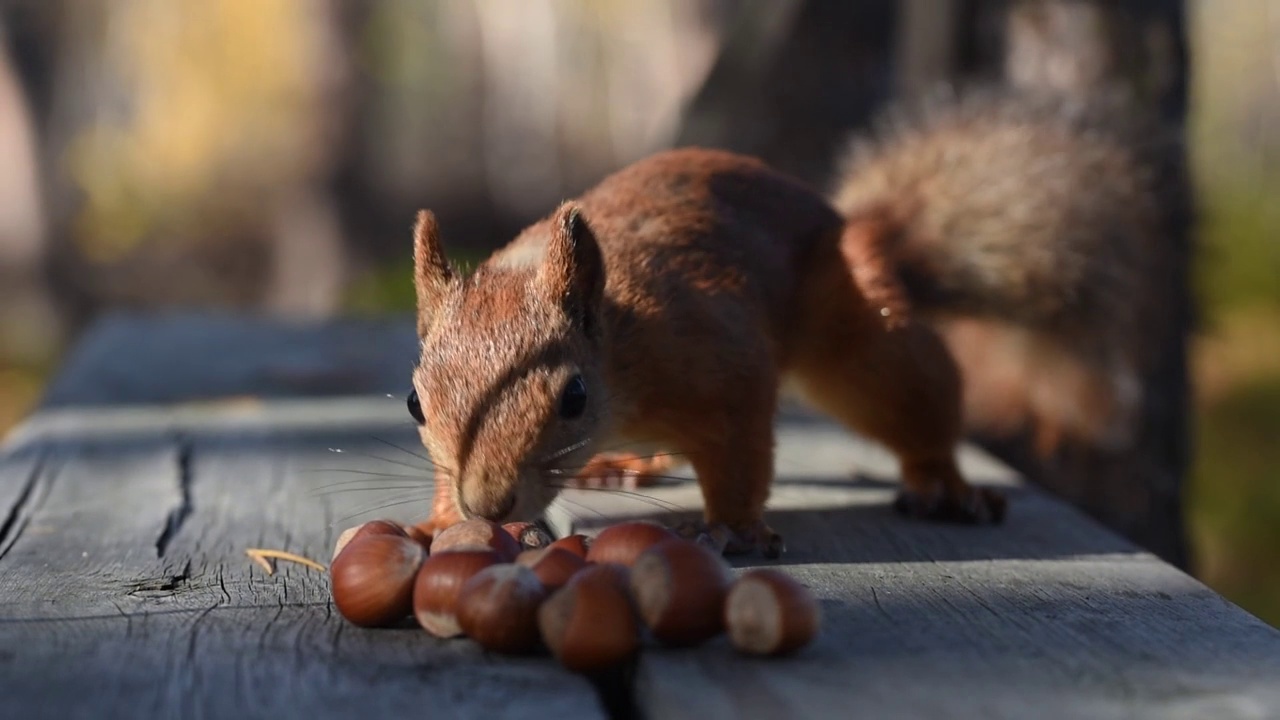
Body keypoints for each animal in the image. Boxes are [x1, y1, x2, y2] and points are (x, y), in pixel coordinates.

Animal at [401, 144, 998, 556]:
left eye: (574, 396)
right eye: (415, 404)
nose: (487, 507)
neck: (619, 343)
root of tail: (836, 214)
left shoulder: (721, 360)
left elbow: (738, 455)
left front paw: (731, 530)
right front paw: (440, 523)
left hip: (865, 336)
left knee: (908, 395)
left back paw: (943, 482)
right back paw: (621, 466)